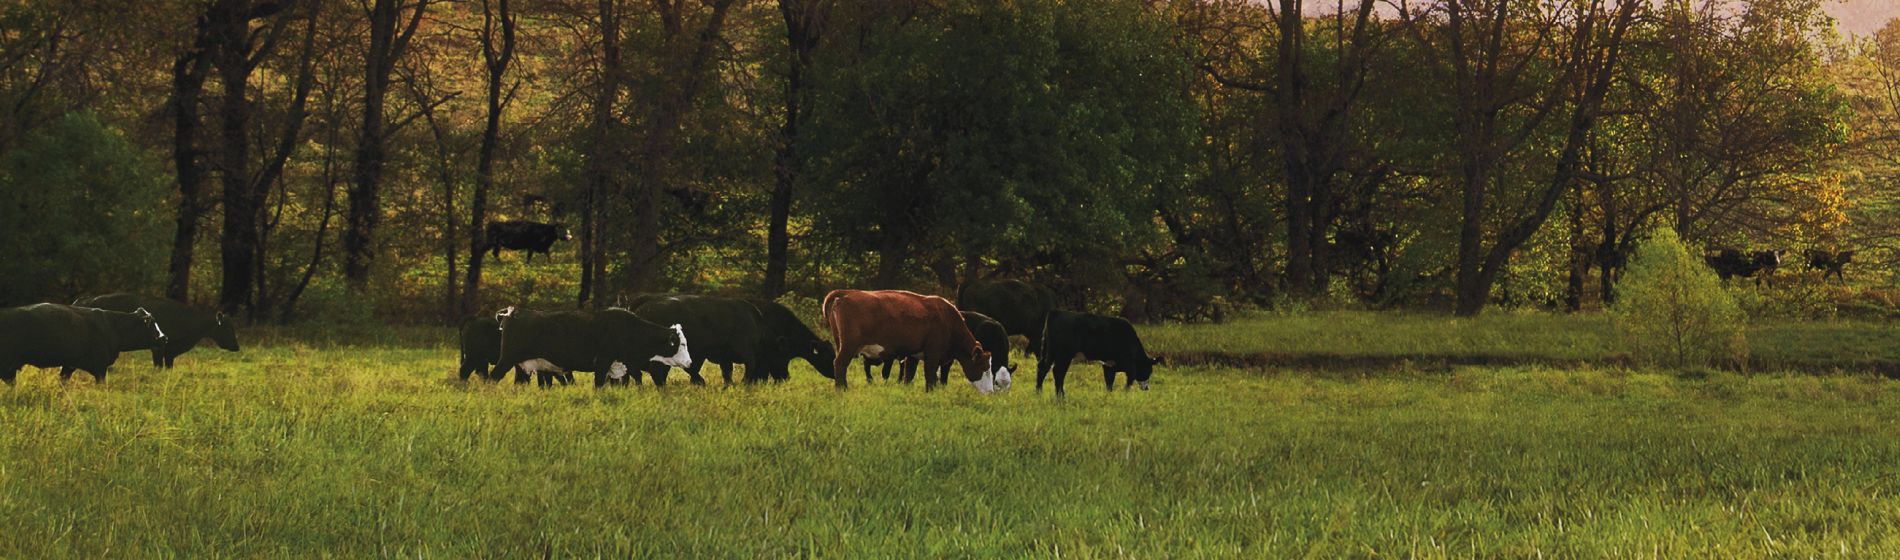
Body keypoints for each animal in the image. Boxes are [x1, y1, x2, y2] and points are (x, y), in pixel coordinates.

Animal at [0, 303, 167, 384]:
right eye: (152, 323)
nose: (164, 338)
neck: (112, 325)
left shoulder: (68, 366)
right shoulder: (100, 368)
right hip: (7, 366)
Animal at [487, 307, 691, 387]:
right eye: (681, 344)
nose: (689, 362)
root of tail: (512, 312)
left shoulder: (622, 366)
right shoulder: (603, 362)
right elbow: (599, 384)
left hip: (521, 366)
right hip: (507, 359)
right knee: (492, 378)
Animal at [822, 290, 995, 392]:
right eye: (985, 368)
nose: (990, 392)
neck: (948, 319)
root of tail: (847, 293)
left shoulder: (912, 355)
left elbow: (908, 375)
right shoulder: (932, 354)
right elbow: (930, 375)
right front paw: (930, 392)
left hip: (840, 343)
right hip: (849, 346)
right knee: (840, 364)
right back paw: (842, 389)